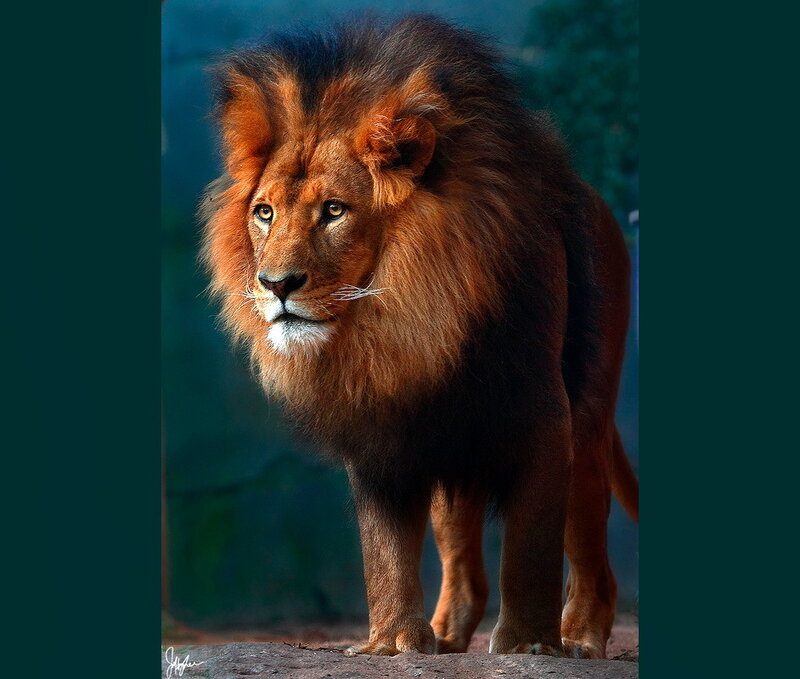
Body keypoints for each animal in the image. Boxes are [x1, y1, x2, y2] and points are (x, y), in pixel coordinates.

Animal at [201, 15, 638, 659]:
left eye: (334, 210)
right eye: (264, 213)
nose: (275, 284)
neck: (411, 323)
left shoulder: (540, 412)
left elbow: (531, 543)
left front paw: (528, 644)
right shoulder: (382, 428)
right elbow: (383, 547)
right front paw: (392, 641)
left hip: (587, 419)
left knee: (591, 556)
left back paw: (579, 638)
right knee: (462, 563)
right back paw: (446, 636)